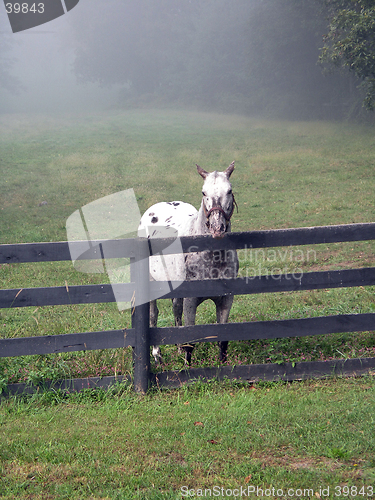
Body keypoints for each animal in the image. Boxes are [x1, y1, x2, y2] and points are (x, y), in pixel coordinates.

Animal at [138, 163, 238, 364]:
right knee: (153, 315)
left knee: (176, 310)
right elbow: (190, 340)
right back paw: (157, 355)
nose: (217, 228)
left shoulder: (226, 300)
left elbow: (222, 340)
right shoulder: (191, 301)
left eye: (229, 191)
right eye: (203, 192)